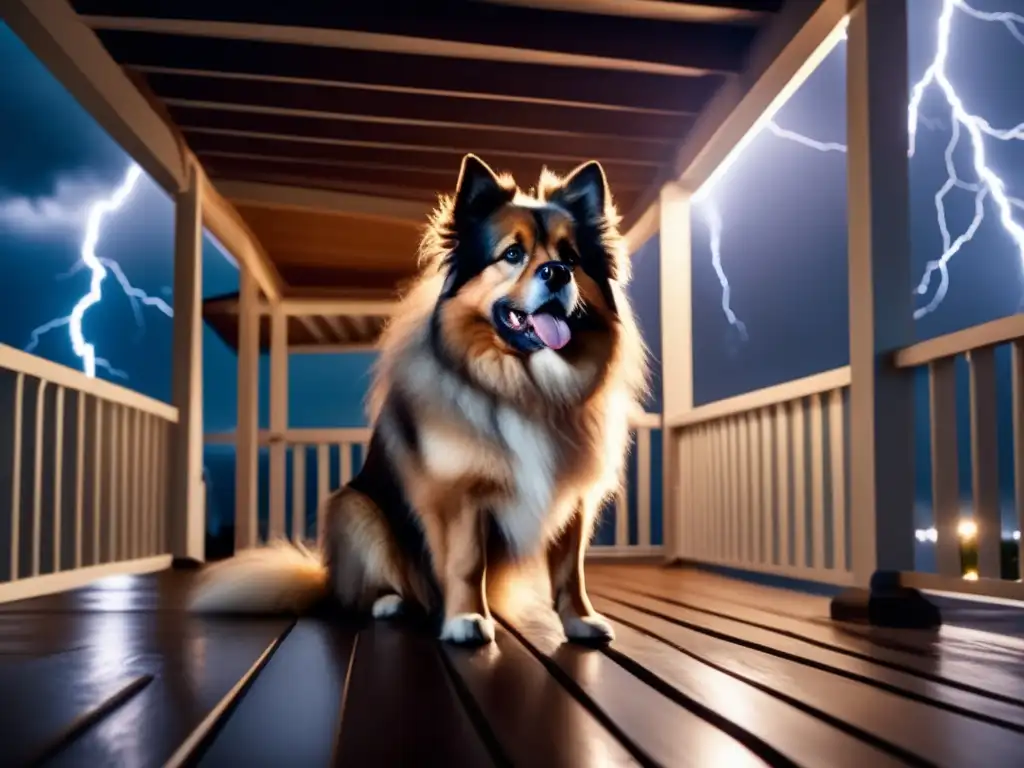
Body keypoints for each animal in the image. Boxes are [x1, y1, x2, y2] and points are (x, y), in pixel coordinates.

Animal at [192, 153, 647, 647]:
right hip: (354, 509)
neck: (526, 386)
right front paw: (466, 619)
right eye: (512, 254)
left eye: (571, 258)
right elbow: (467, 563)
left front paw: (580, 620)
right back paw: (390, 602)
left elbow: (570, 569)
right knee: (361, 593)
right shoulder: (461, 493)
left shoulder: (574, 501)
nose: (557, 273)